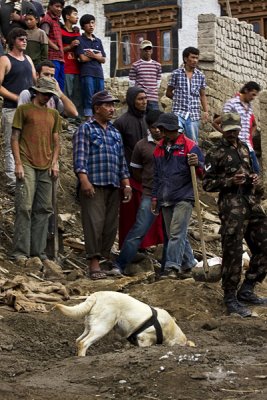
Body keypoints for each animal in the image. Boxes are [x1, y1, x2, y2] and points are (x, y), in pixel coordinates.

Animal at [55, 290, 197, 356]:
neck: (171, 330)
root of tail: (97, 294)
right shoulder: (144, 337)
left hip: (90, 327)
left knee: (78, 340)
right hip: (102, 327)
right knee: (83, 343)